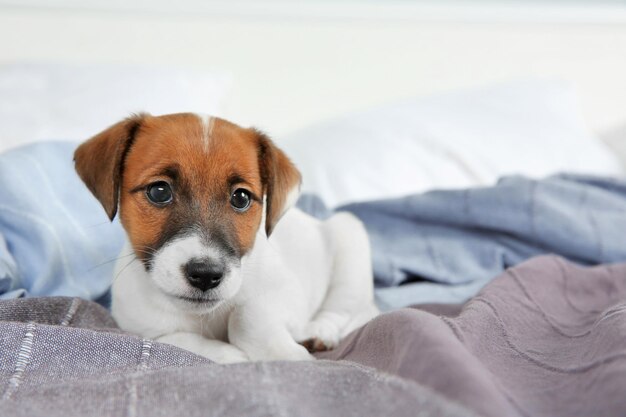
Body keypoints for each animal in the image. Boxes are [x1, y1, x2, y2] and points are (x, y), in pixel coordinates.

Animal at [73, 112, 376, 362]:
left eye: (241, 198)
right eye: (159, 191)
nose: (206, 275)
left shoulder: (286, 292)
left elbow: (246, 316)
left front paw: (285, 355)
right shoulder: (140, 326)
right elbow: (177, 339)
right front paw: (233, 356)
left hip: (349, 237)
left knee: (349, 309)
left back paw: (319, 331)